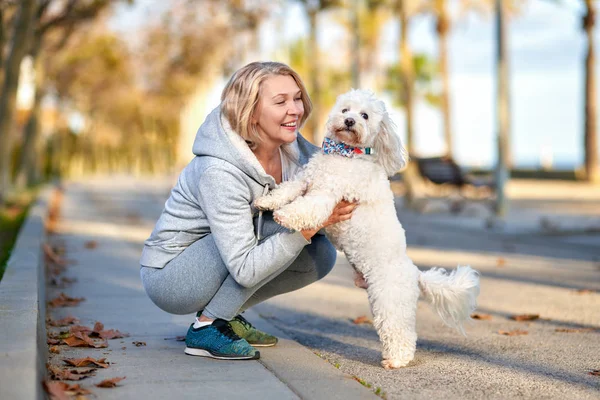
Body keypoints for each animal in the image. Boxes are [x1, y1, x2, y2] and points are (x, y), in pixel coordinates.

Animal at [255, 90, 480, 368]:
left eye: (364, 115)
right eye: (345, 110)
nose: (350, 121)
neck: (344, 155)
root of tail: (414, 272)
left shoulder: (327, 196)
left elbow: (307, 207)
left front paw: (285, 215)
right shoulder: (306, 181)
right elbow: (287, 190)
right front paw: (266, 202)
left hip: (389, 301)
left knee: (401, 333)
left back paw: (396, 361)